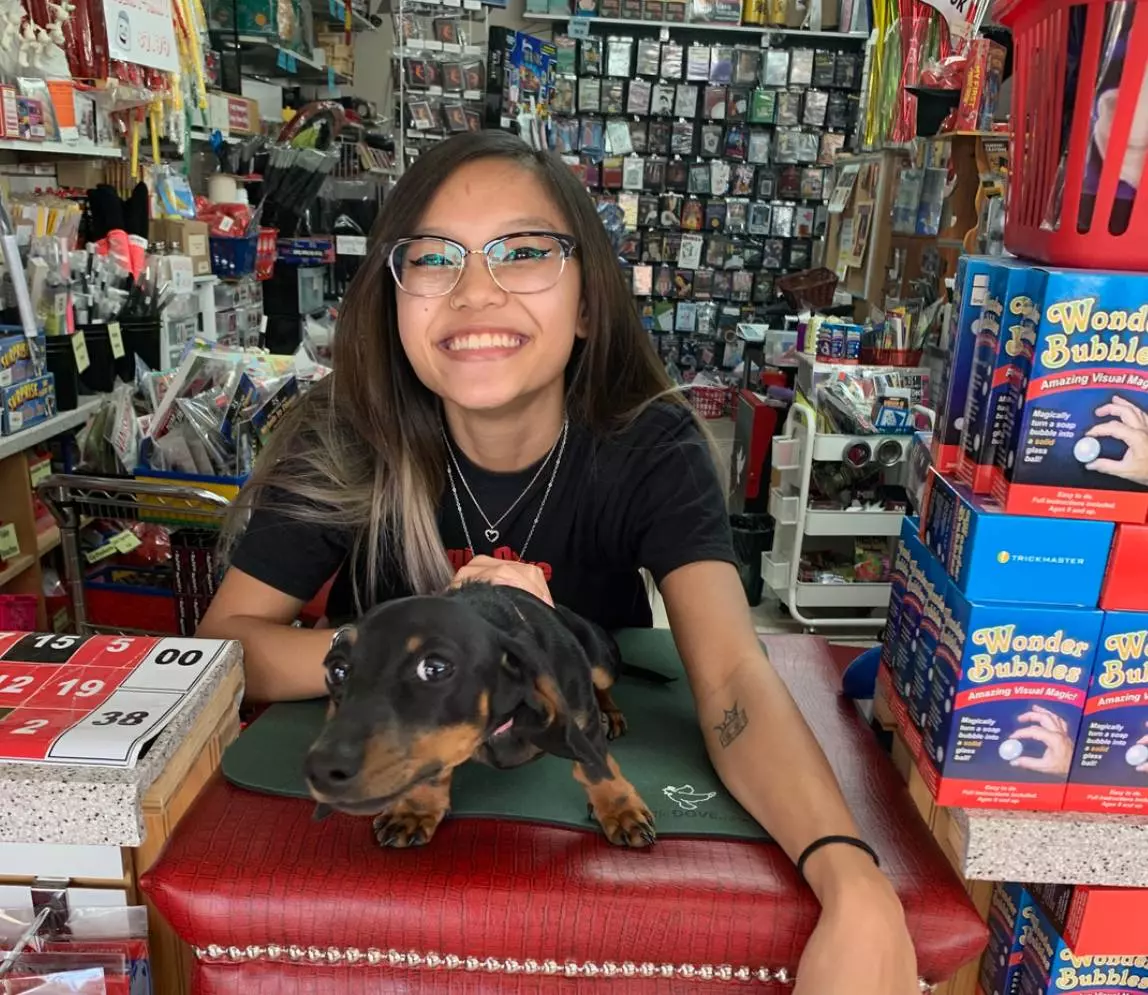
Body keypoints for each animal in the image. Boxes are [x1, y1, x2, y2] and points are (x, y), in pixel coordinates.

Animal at [300, 587, 656, 853]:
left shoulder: (583, 722)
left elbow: (597, 768)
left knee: (603, 685)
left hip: (602, 662)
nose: (321, 771)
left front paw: (620, 809)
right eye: (336, 669)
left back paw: (611, 713)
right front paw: (415, 809)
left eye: (435, 667)